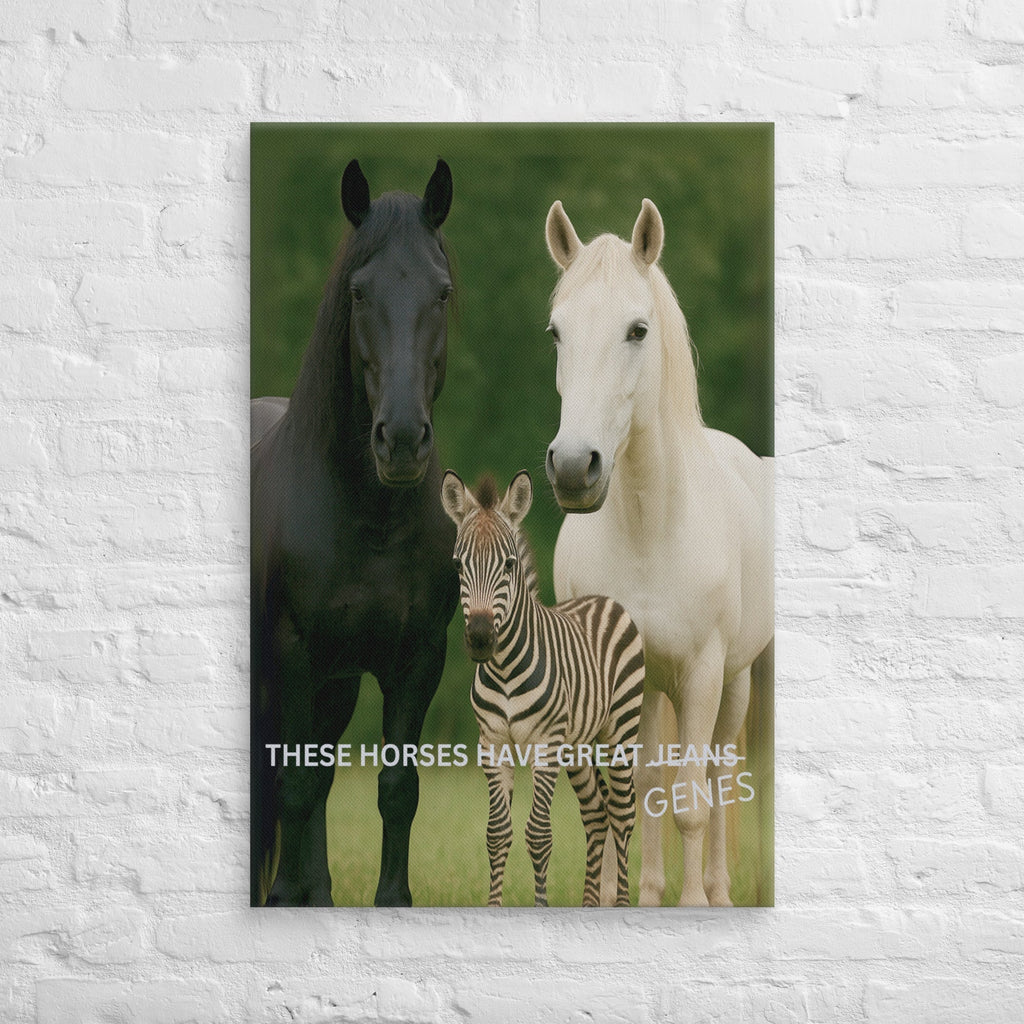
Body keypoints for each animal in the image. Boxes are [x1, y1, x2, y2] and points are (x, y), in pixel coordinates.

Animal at [251, 158, 460, 906]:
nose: (399, 440)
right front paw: (284, 897)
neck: (371, 518)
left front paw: (389, 900)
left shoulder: (418, 659)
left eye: (441, 290)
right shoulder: (292, 654)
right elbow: (293, 784)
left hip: (334, 686)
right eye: (359, 292)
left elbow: (396, 789)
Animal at [542, 198, 773, 906]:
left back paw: (720, 892)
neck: (652, 532)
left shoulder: (702, 674)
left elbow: (693, 800)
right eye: (556, 333)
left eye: (637, 330)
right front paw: (639, 898)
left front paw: (694, 901)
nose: (573, 467)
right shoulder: (628, 682)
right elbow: (639, 791)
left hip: (733, 685)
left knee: (720, 773)